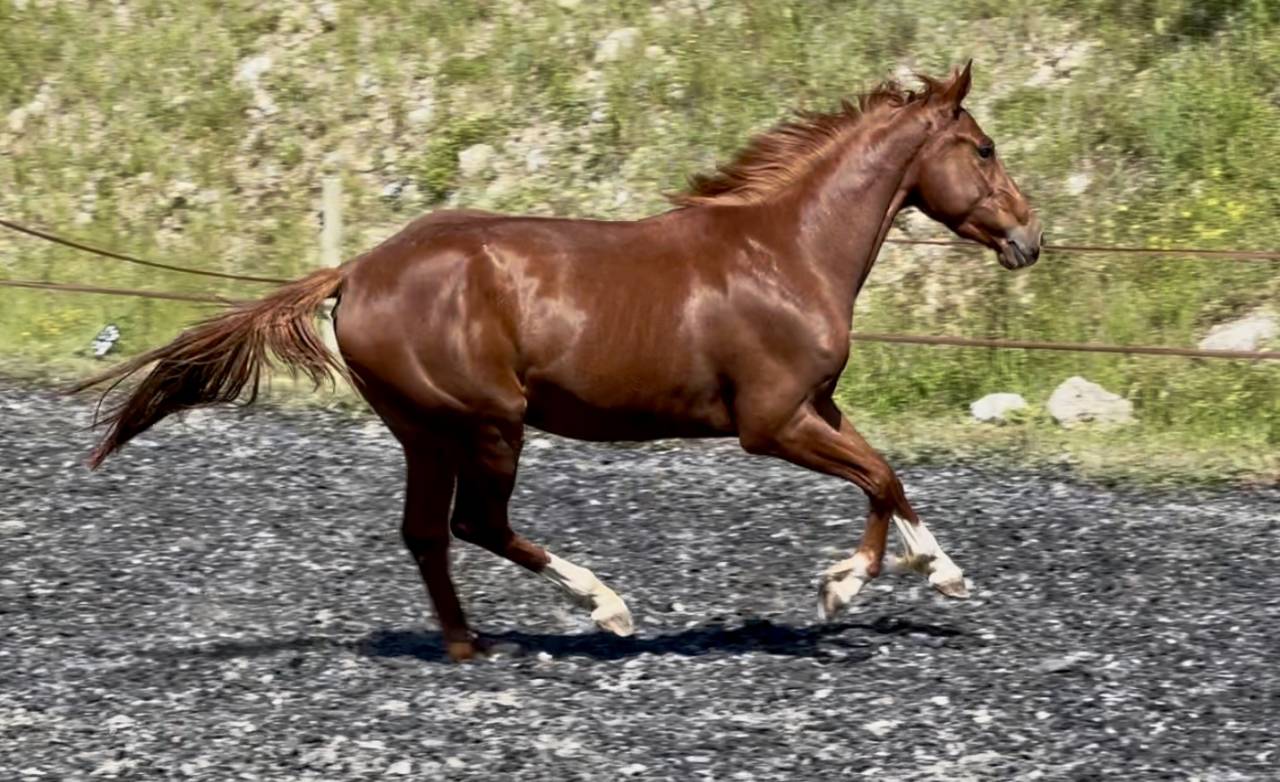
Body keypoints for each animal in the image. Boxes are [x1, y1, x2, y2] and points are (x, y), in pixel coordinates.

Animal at [74, 62, 1041, 662]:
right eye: (984, 149)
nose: (1030, 239)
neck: (785, 250)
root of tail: (356, 270)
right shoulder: (770, 423)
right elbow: (876, 477)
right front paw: (858, 586)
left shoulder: (816, 406)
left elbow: (886, 473)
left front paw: (919, 573)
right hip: (491, 424)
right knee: (476, 525)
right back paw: (604, 609)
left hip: (424, 431)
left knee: (427, 533)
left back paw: (470, 646)